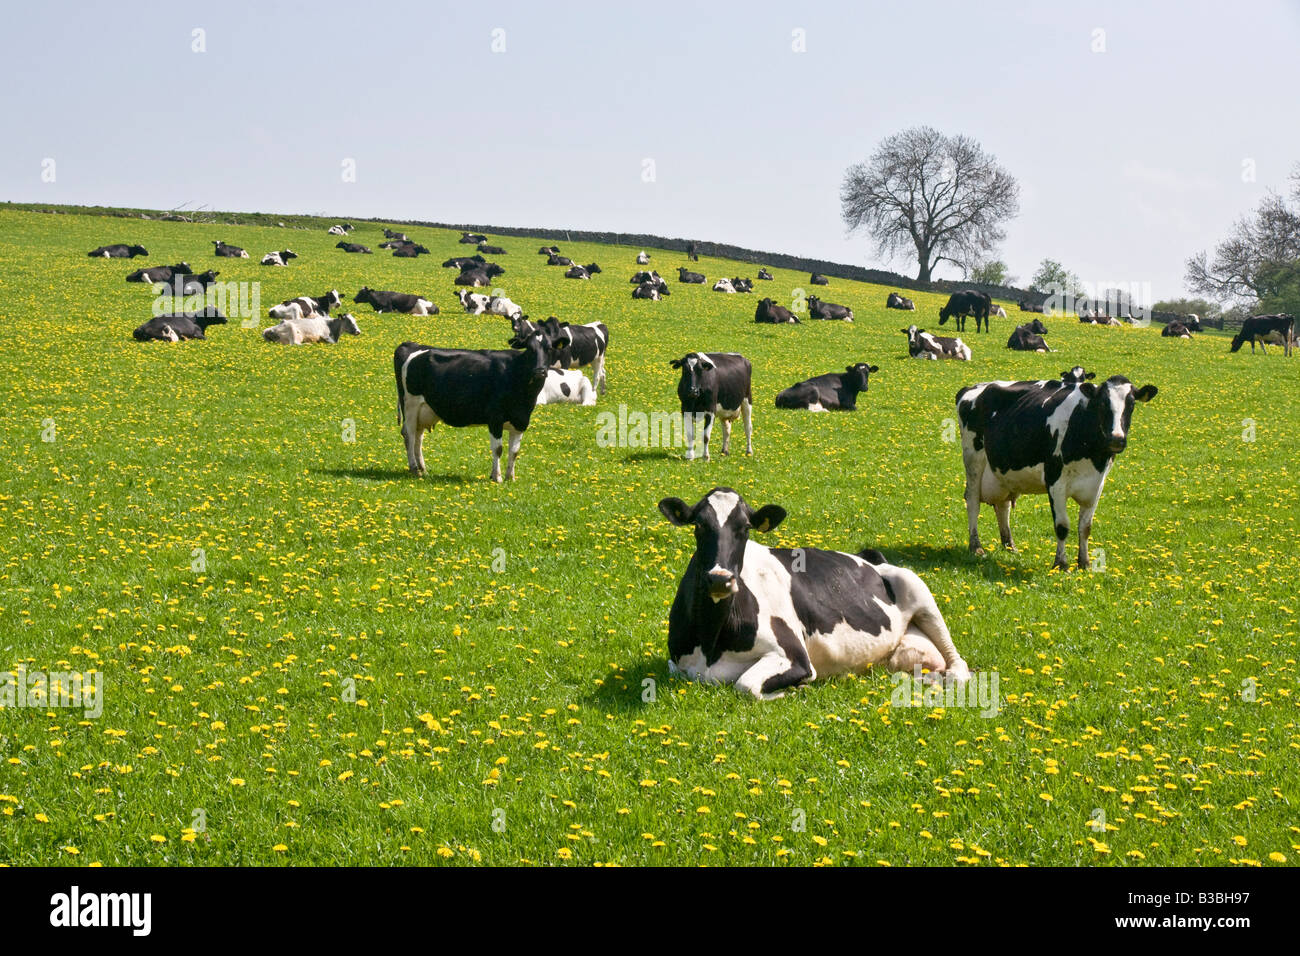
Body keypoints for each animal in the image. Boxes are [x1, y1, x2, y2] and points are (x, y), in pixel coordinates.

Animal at [390, 325, 564, 481]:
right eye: (529, 349)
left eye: (549, 348)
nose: (540, 371)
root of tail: (413, 345)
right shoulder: (495, 418)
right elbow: (498, 449)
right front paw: (497, 477)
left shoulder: (521, 420)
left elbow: (514, 451)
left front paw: (510, 477)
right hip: (410, 405)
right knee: (409, 435)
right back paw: (414, 469)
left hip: (424, 410)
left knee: (418, 437)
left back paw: (423, 469)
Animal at [660, 489, 967, 697]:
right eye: (699, 525)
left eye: (745, 528)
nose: (719, 579)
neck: (710, 640)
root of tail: (870, 556)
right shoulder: (676, 663)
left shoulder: (795, 657)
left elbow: (745, 685)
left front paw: (793, 690)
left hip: (918, 589)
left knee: (959, 665)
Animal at [956, 374, 1159, 567]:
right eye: (1102, 403)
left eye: (1131, 404)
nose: (1116, 439)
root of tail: (975, 387)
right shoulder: (1055, 481)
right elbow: (1062, 526)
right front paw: (1061, 564)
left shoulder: (1096, 485)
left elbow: (1085, 528)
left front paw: (1084, 564)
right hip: (973, 460)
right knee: (973, 501)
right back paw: (976, 546)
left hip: (1003, 472)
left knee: (1002, 506)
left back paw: (1010, 546)